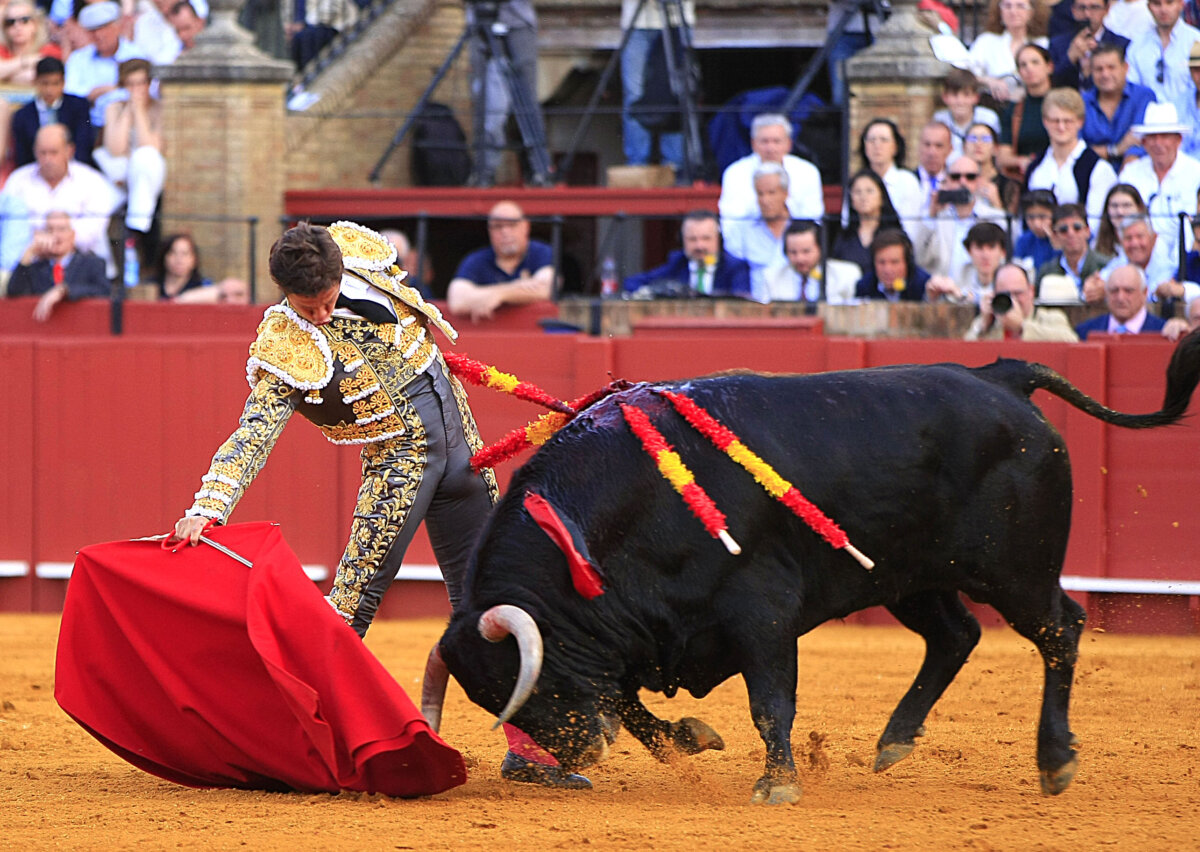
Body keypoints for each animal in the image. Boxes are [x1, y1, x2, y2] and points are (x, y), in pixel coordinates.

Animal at [425, 335, 1200, 805]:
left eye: (529, 677)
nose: (575, 755)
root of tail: (1001, 378)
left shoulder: (761, 612)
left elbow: (770, 701)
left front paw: (776, 785)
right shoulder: (643, 634)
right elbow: (634, 704)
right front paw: (689, 742)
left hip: (1015, 570)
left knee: (1058, 628)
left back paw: (1054, 760)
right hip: (908, 572)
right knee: (955, 636)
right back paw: (895, 741)